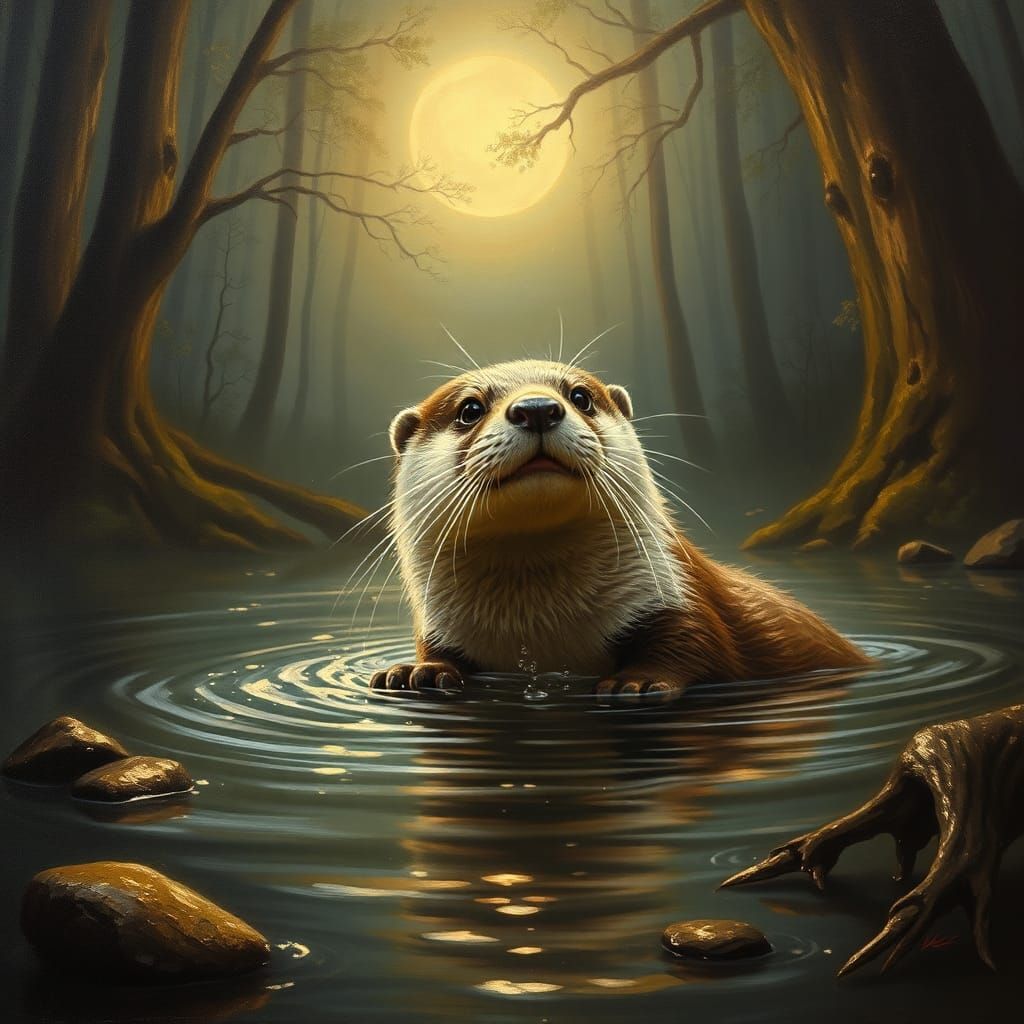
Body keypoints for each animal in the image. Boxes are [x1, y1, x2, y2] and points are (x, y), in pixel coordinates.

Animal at [369, 359, 868, 699]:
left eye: (580, 397)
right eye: (470, 409)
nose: (537, 407)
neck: (540, 627)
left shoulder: (678, 592)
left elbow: (695, 640)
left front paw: (640, 681)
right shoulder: (440, 626)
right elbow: (438, 653)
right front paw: (417, 672)